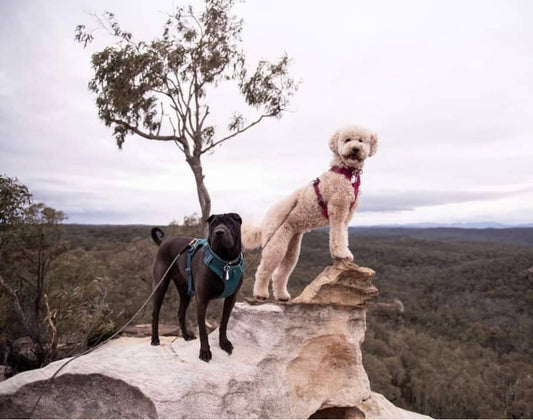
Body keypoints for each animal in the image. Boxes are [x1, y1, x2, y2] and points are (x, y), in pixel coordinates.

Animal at [149, 213, 242, 360]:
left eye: (229, 222)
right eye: (214, 224)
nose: (219, 232)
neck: (225, 262)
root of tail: (163, 243)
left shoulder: (231, 298)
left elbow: (224, 323)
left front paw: (224, 343)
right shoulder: (202, 300)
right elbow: (203, 330)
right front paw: (205, 351)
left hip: (185, 292)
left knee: (180, 314)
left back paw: (186, 335)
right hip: (160, 286)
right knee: (155, 314)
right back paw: (154, 339)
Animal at [243, 124, 376, 302]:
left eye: (361, 141)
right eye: (347, 139)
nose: (355, 149)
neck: (345, 172)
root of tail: (265, 219)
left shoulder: (347, 216)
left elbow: (343, 236)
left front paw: (343, 253)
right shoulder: (337, 212)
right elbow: (337, 236)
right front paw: (341, 254)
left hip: (292, 247)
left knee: (280, 274)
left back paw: (282, 295)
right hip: (276, 244)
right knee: (263, 270)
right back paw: (260, 293)